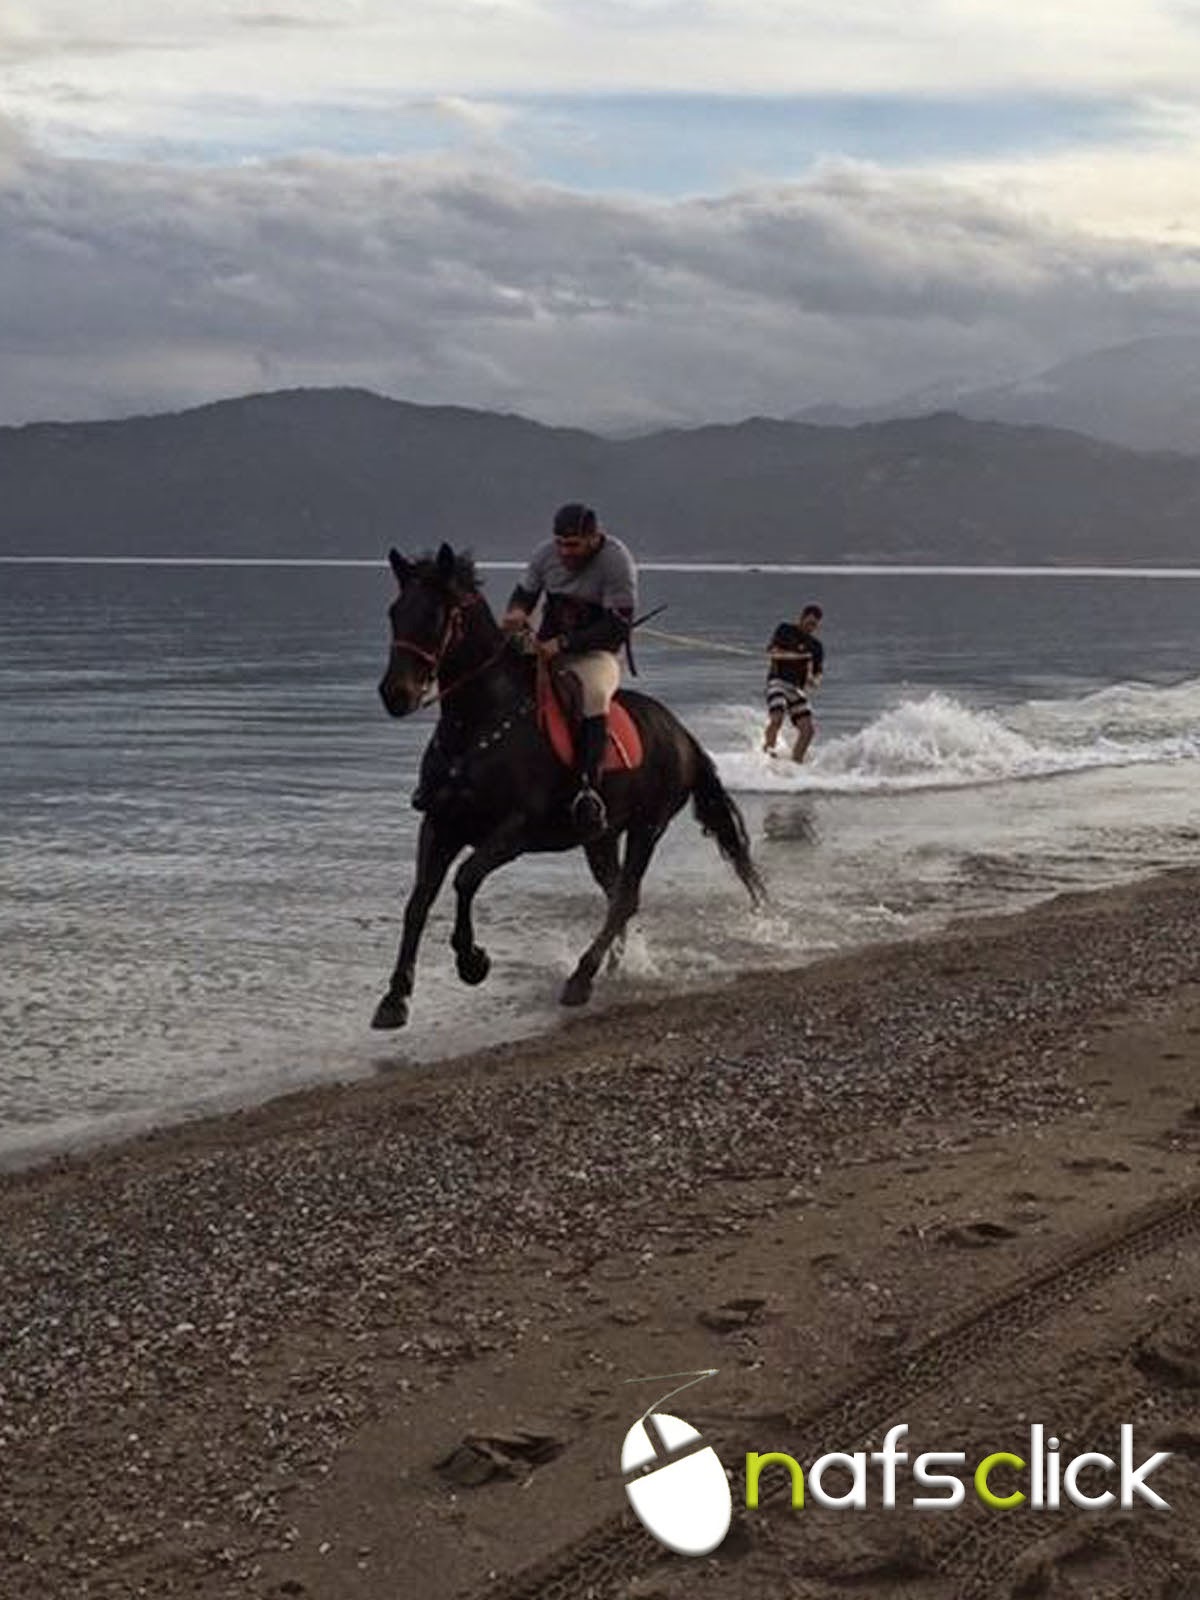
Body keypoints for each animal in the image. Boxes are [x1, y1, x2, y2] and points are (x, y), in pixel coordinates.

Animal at [372, 542, 765, 1028]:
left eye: (436, 615)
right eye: (395, 612)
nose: (395, 694)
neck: (477, 726)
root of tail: (681, 733)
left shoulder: (515, 831)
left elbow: (465, 879)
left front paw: (473, 962)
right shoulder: (440, 824)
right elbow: (418, 902)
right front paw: (395, 998)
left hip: (647, 827)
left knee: (625, 896)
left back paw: (582, 977)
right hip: (600, 836)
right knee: (617, 894)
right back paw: (612, 966)